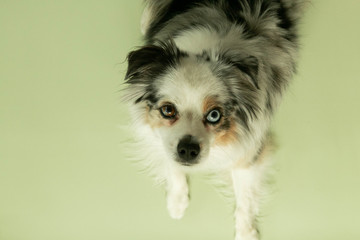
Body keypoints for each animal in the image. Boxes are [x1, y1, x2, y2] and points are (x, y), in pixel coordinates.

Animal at [123, 0, 304, 239]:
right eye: (168, 110)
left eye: (214, 115)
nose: (188, 150)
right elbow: (171, 163)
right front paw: (177, 201)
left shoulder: (249, 149)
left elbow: (245, 196)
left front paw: (246, 231)